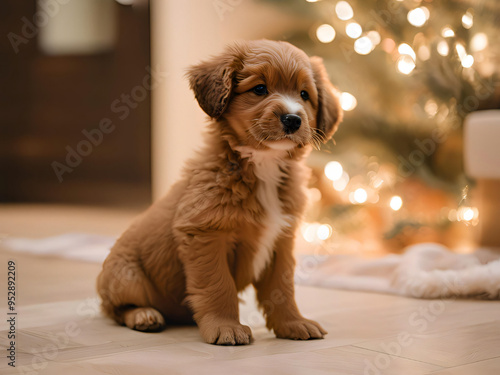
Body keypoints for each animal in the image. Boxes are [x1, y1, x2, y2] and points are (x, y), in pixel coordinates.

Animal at [96, 39, 342, 346]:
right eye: (259, 89)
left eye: (305, 94)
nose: (293, 119)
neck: (263, 166)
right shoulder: (206, 234)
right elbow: (218, 285)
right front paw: (226, 327)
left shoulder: (281, 240)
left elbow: (282, 288)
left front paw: (293, 323)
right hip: (127, 276)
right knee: (114, 308)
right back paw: (144, 315)